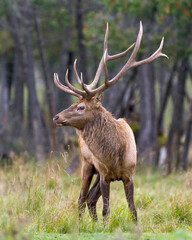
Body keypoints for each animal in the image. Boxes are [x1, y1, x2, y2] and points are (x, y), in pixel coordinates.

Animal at [53, 21, 168, 222]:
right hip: (87, 164)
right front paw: (105, 225)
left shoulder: (129, 174)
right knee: (81, 198)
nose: (56, 117)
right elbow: (106, 209)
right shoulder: (105, 174)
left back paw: (92, 223)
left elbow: (132, 208)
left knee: (89, 199)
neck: (115, 155)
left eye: (80, 107)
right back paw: (81, 224)